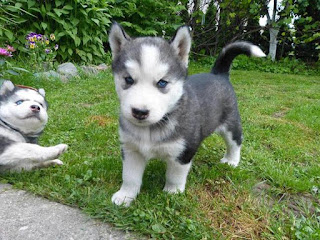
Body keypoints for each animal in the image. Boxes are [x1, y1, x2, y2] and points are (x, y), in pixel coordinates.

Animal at [109, 23, 266, 206]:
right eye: (128, 79)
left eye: (162, 83)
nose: (140, 112)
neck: (151, 129)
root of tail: (218, 74)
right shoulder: (130, 149)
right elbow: (130, 177)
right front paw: (125, 196)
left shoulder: (183, 152)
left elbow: (174, 176)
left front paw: (172, 193)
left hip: (231, 124)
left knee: (236, 142)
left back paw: (231, 160)